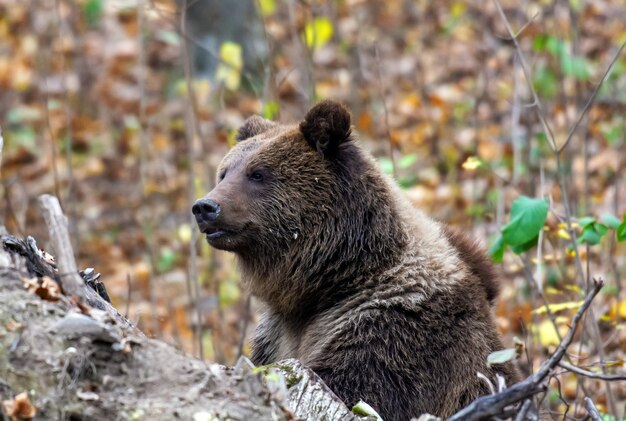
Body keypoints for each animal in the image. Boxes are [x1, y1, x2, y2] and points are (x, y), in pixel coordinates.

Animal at [191, 100, 516, 418]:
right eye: (225, 172)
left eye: (257, 173)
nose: (205, 207)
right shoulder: (275, 335)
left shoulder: (395, 324)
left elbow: (361, 388)